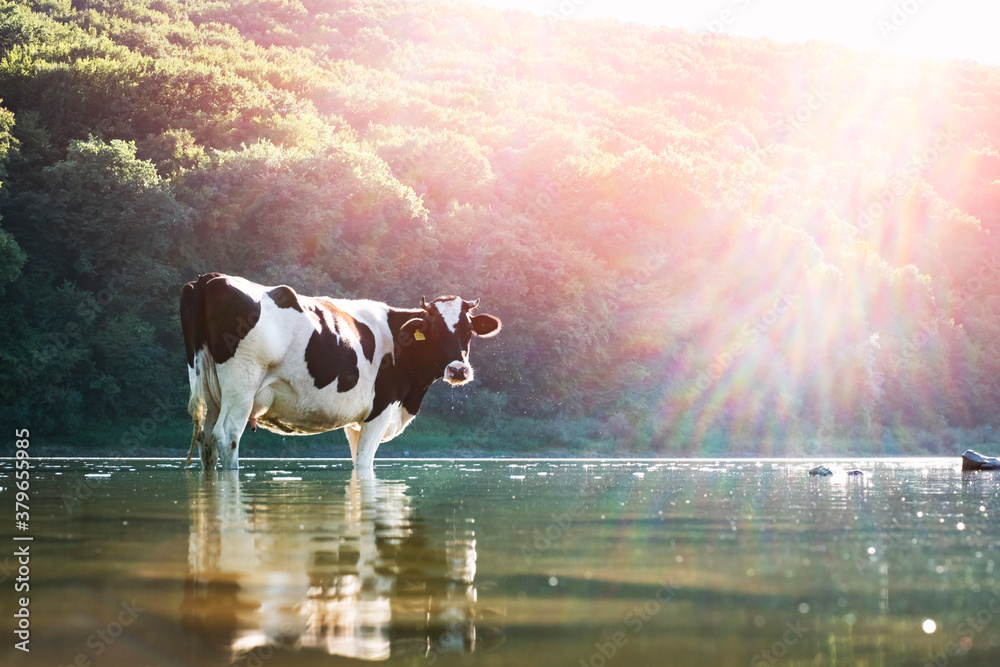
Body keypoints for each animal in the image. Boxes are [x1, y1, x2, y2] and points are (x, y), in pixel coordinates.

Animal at [180, 272, 500, 470]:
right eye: (433, 331)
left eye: (469, 331)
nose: (458, 370)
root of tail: (211, 278)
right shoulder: (379, 411)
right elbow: (365, 464)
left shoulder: (355, 423)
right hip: (241, 384)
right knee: (227, 436)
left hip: (210, 390)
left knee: (206, 440)